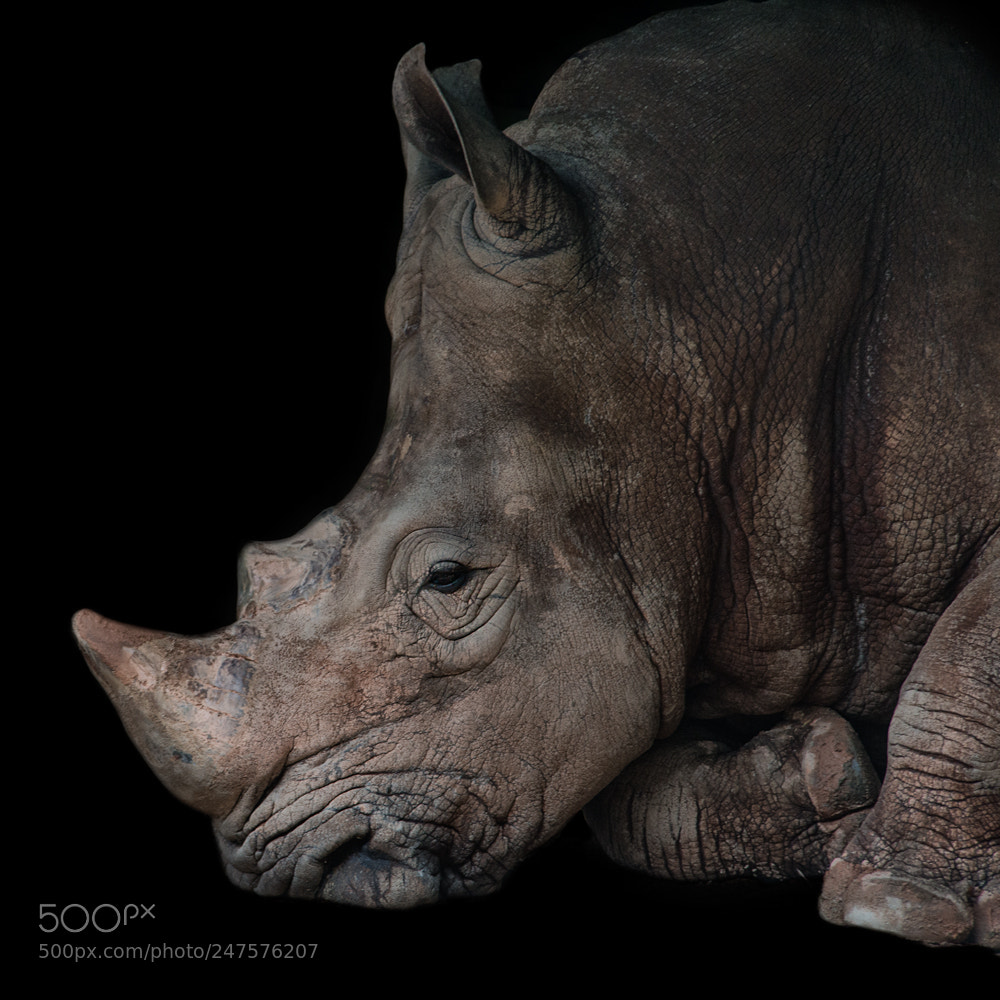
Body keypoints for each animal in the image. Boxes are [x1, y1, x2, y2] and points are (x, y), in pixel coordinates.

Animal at [73, 0, 998, 949]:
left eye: (449, 578)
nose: (295, 874)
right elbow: (616, 792)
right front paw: (822, 787)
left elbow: (969, 649)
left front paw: (899, 901)